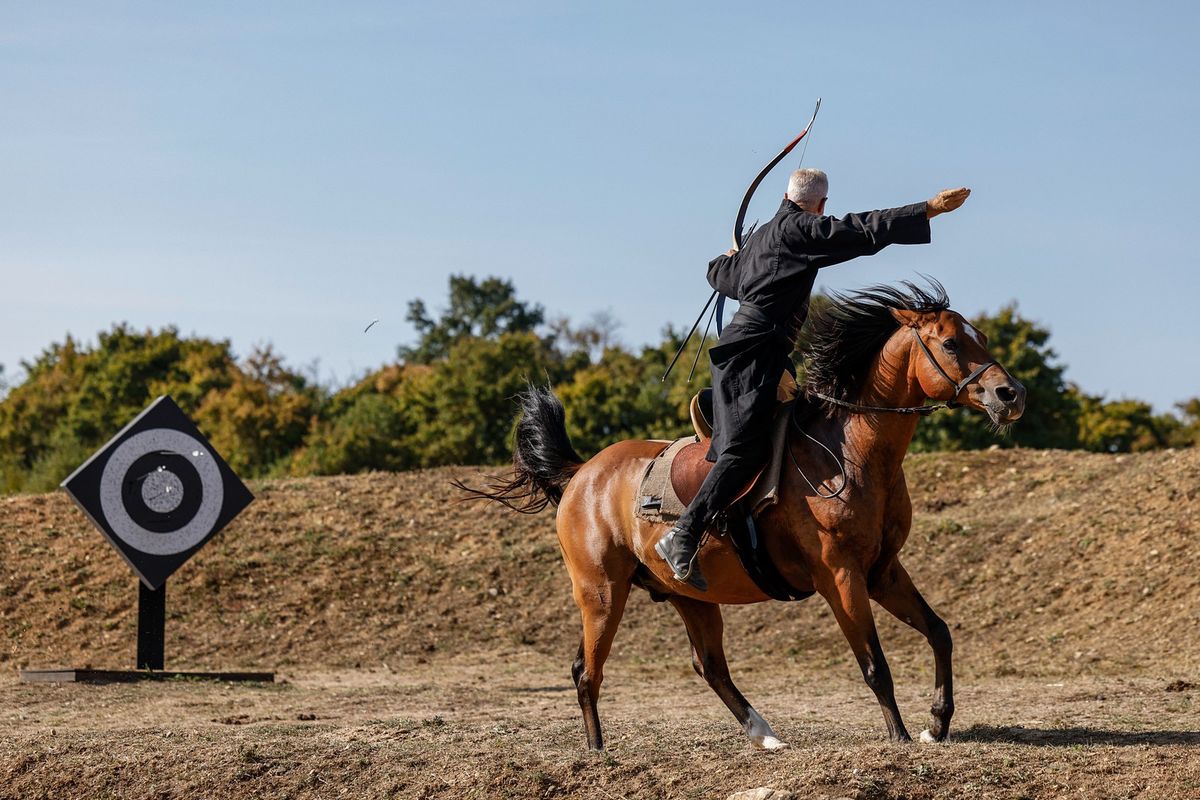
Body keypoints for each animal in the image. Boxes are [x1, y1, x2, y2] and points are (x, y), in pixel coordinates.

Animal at [463, 281, 1027, 753]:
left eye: (979, 337)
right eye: (951, 344)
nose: (1011, 394)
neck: (850, 452)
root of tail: (583, 473)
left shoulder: (883, 571)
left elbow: (939, 632)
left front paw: (937, 722)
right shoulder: (841, 577)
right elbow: (875, 665)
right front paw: (901, 736)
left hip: (690, 596)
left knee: (709, 665)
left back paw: (765, 734)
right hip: (601, 593)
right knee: (587, 671)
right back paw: (599, 750)